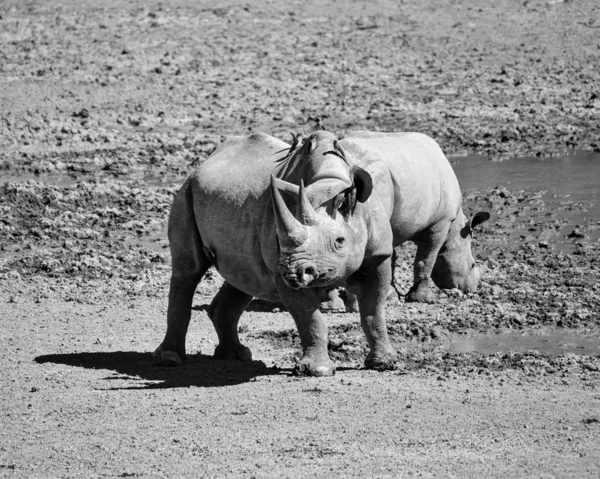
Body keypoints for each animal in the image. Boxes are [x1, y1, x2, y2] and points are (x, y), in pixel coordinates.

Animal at [155, 132, 398, 378]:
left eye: (340, 242)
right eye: (281, 241)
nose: (294, 273)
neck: (329, 182)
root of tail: (203, 164)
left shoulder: (378, 254)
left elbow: (373, 310)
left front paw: (385, 363)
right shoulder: (281, 268)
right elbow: (310, 317)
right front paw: (317, 370)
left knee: (244, 277)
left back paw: (235, 355)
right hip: (186, 192)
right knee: (188, 271)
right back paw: (170, 358)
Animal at [340, 131, 490, 304]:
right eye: (472, 265)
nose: (471, 289)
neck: (455, 229)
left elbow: (392, 257)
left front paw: (391, 294)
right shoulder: (440, 222)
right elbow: (427, 259)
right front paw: (424, 298)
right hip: (373, 177)